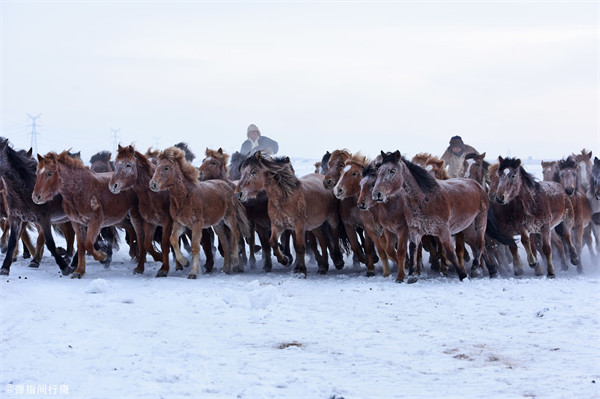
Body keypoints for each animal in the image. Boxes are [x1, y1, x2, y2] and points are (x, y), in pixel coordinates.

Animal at [32, 152, 146, 280]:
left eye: (50, 173)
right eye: (37, 173)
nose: (36, 197)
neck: (79, 190)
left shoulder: (95, 221)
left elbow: (88, 244)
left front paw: (103, 257)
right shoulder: (77, 223)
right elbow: (81, 246)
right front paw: (79, 271)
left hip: (134, 216)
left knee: (140, 237)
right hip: (118, 218)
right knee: (131, 230)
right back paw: (134, 255)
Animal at [149, 146, 248, 278]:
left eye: (166, 168)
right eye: (156, 167)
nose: (152, 184)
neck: (185, 197)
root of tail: (227, 186)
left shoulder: (196, 225)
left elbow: (195, 247)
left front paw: (194, 272)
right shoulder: (179, 224)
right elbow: (173, 240)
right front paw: (185, 262)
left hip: (229, 217)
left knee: (236, 233)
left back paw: (236, 261)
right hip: (218, 224)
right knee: (225, 242)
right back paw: (226, 268)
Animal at [372, 152, 490, 282]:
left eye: (392, 170)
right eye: (379, 170)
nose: (377, 194)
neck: (424, 199)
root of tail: (476, 185)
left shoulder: (443, 231)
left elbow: (449, 252)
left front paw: (462, 275)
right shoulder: (415, 229)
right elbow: (413, 249)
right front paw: (412, 275)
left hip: (481, 219)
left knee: (480, 243)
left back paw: (475, 269)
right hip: (466, 226)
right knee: (478, 244)